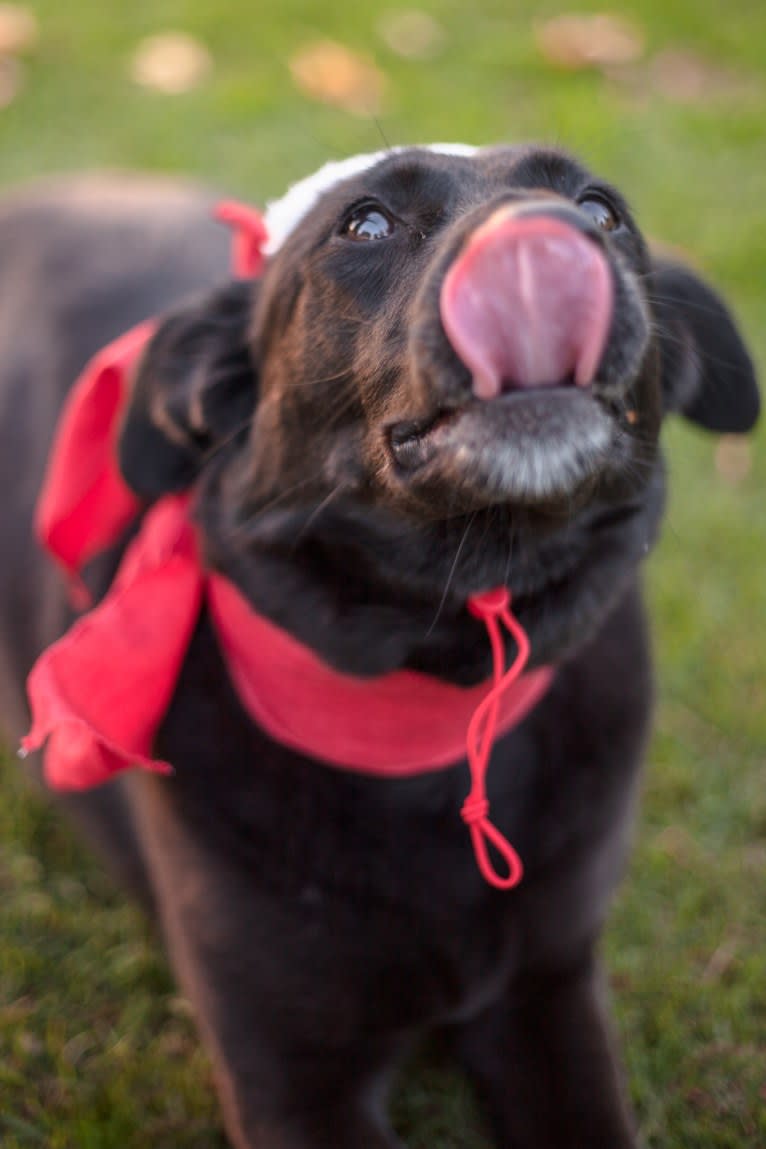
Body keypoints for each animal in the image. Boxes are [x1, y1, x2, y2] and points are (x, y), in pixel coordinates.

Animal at [0, 148, 757, 1144]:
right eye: (363, 224)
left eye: (602, 208)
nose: (549, 237)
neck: (433, 704)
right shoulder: (292, 1077)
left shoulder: (549, 990)